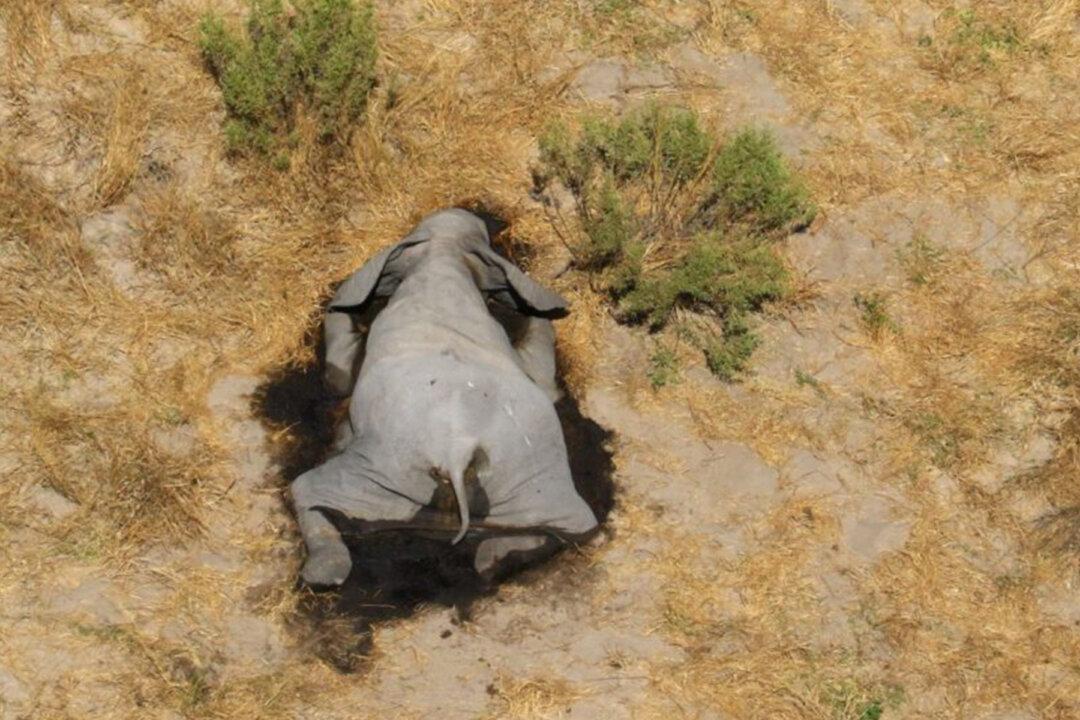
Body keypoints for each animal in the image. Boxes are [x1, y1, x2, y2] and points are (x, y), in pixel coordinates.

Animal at [290, 208, 599, 586]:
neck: (443, 257)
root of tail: (457, 455)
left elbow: (339, 376)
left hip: (382, 475)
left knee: (306, 489)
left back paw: (322, 572)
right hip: (529, 484)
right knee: (574, 527)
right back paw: (492, 560)